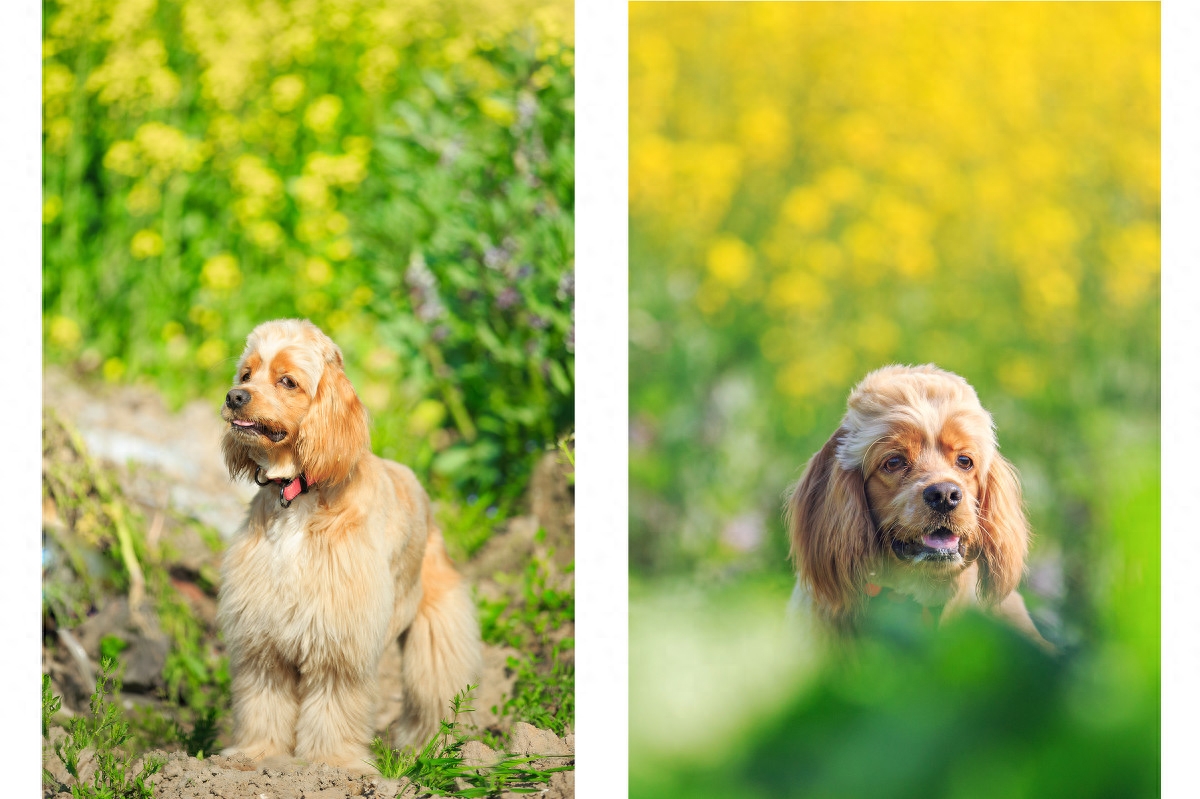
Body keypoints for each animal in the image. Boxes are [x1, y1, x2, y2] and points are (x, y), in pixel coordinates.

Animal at [218, 316, 480, 767]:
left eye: (287, 381)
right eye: (246, 374)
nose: (235, 396)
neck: (298, 495)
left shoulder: (340, 639)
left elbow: (334, 707)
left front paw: (330, 763)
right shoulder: (262, 639)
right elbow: (263, 703)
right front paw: (258, 754)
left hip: (435, 632)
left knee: (434, 695)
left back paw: (426, 750)